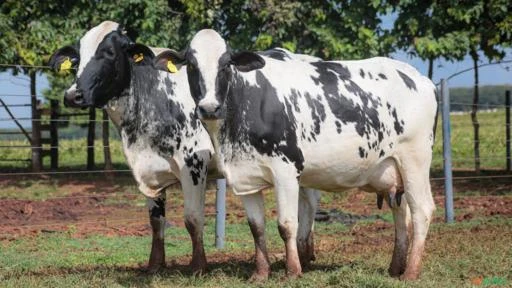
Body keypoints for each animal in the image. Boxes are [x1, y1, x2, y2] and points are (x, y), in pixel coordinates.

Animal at [48, 21, 214, 274]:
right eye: (78, 58)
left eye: (109, 52)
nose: (72, 95)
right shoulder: (149, 172)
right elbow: (156, 221)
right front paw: (155, 265)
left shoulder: (195, 164)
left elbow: (193, 218)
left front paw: (198, 267)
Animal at [155, 29, 436, 282]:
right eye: (191, 65)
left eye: (226, 65)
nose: (209, 108)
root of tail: (419, 77)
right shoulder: (245, 177)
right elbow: (257, 227)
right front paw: (261, 273)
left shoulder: (286, 171)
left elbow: (287, 224)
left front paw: (292, 271)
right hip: (393, 171)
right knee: (401, 215)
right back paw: (395, 267)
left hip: (415, 160)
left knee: (421, 210)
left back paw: (411, 272)